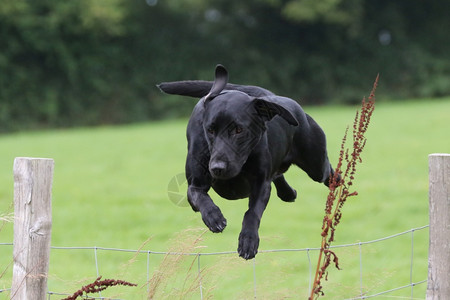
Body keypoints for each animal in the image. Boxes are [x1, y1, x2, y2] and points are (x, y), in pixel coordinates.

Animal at [157, 64, 334, 258]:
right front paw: (214, 217)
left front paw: (248, 240)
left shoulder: (261, 184)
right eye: (210, 130)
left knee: (328, 172)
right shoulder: (195, 185)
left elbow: (252, 213)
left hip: (317, 166)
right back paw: (288, 193)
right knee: (279, 175)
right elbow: (200, 197)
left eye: (239, 130)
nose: (217, 167)